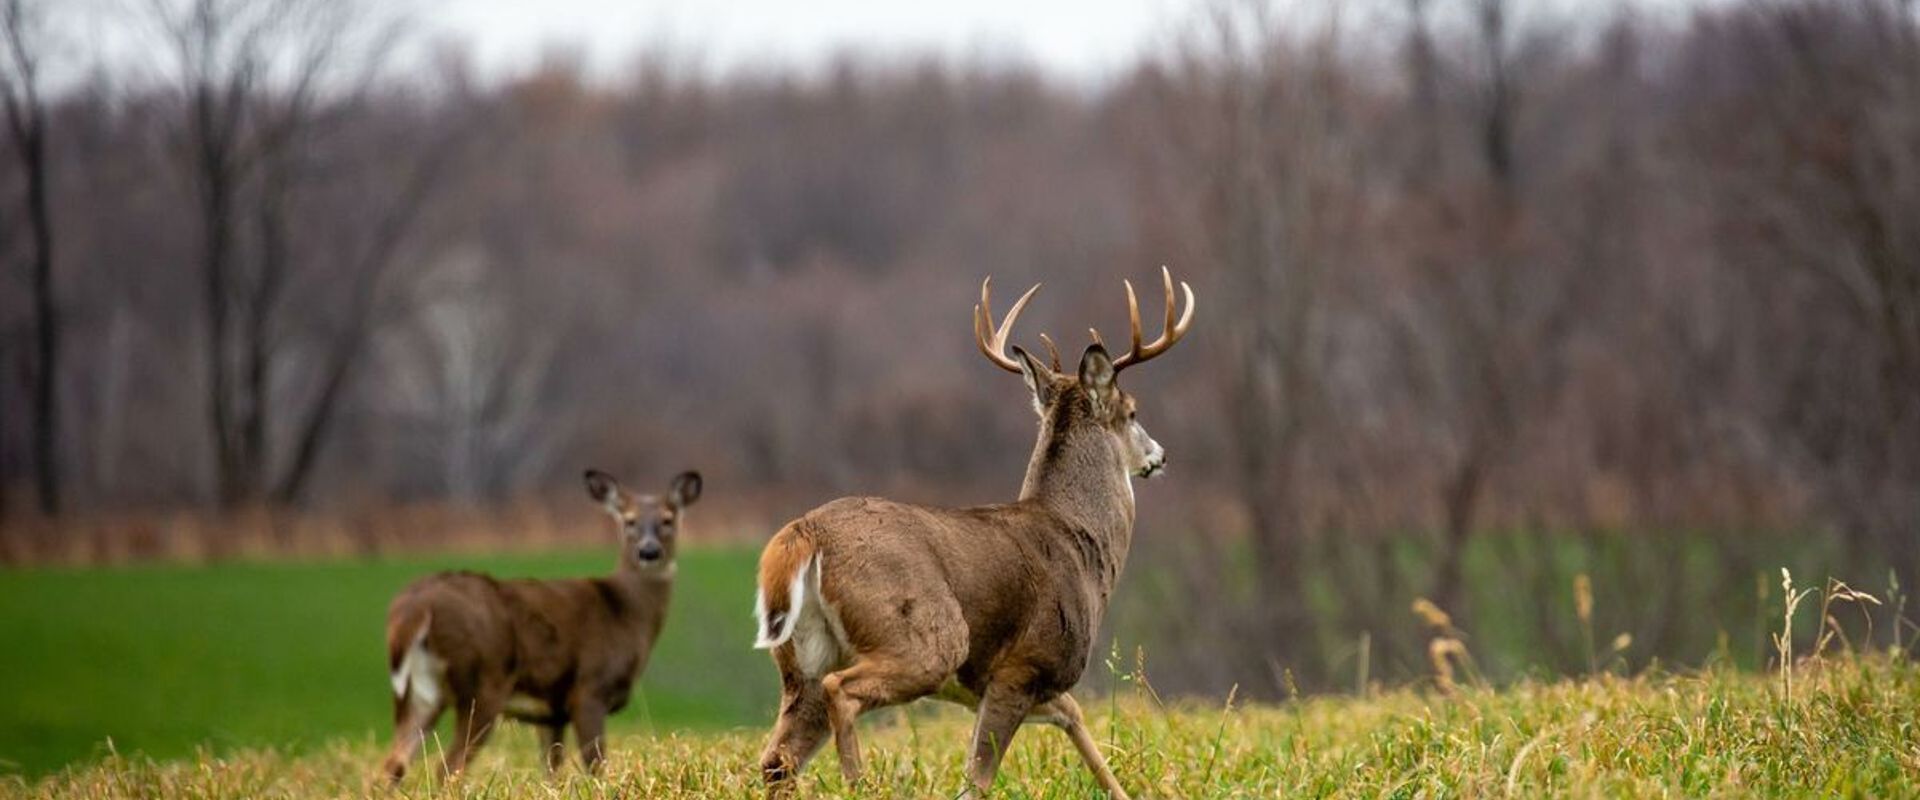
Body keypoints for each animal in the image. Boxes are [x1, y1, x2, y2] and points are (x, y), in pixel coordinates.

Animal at [378, 469, 703, 784]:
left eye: (668, 519)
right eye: (629, 520)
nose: (649, 552)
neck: (625, 612)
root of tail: (415, 609)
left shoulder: (551, 713)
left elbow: (551, 771)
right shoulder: (589, 689)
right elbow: (596, 766)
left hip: (419, 693)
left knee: (394, 764)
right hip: (483, 684)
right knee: (448, 767)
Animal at [752, 268, 1194, 799]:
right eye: (1131, 411)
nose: (1160, 455)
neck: (1079, 543)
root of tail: (805, 535)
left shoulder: (1034, 688)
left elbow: (1078, 722)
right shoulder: (1024, 665)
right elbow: (977, 780)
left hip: (803, 662)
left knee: (777, 759)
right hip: (925, 636)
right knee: (842, 694)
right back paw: (860, 783)